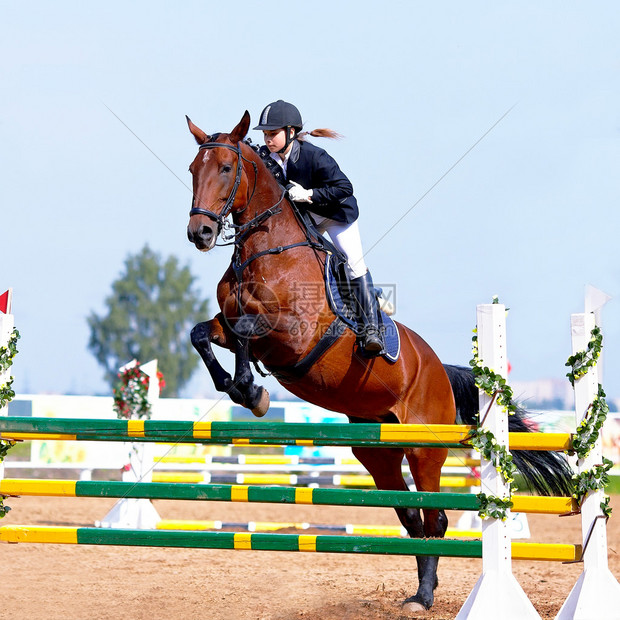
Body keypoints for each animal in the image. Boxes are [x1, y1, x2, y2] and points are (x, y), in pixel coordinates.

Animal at [184, 110, 572, 612]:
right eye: (193, 170)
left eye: (227, 169)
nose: (200, 233)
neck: (267, 249)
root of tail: (439, 370)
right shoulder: (228, 324)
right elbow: (203, 334)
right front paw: (237, 387)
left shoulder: (293, 334)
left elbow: (250, 331)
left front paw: (252, 392)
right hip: (375, 450)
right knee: (411, 517)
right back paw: (420, 591)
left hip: (424, 449)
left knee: (435, 518)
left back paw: (424, 597)